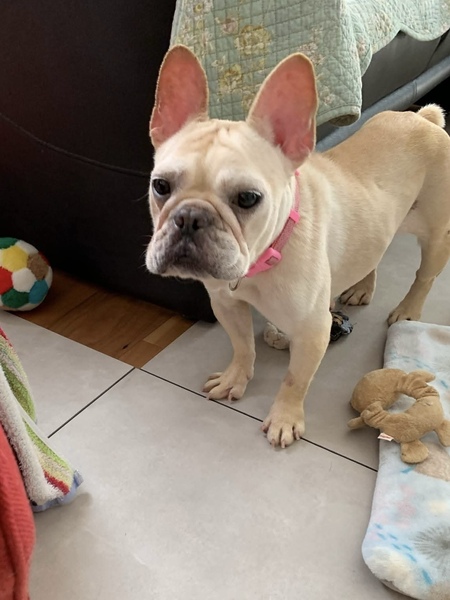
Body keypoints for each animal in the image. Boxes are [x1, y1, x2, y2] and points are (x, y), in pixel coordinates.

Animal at [146, 45, 450, 449]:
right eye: (160, 186)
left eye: (248, 198)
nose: (190, 218)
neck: (263, 259)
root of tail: (424, 120)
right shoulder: (226, 304)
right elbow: (242, 346)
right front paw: (235, 378)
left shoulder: (312, 329)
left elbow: (294, 380)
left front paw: (284, 419)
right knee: (376, 251)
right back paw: (361, 286)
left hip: (436, 232)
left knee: (424, 276)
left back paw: (407, 310)